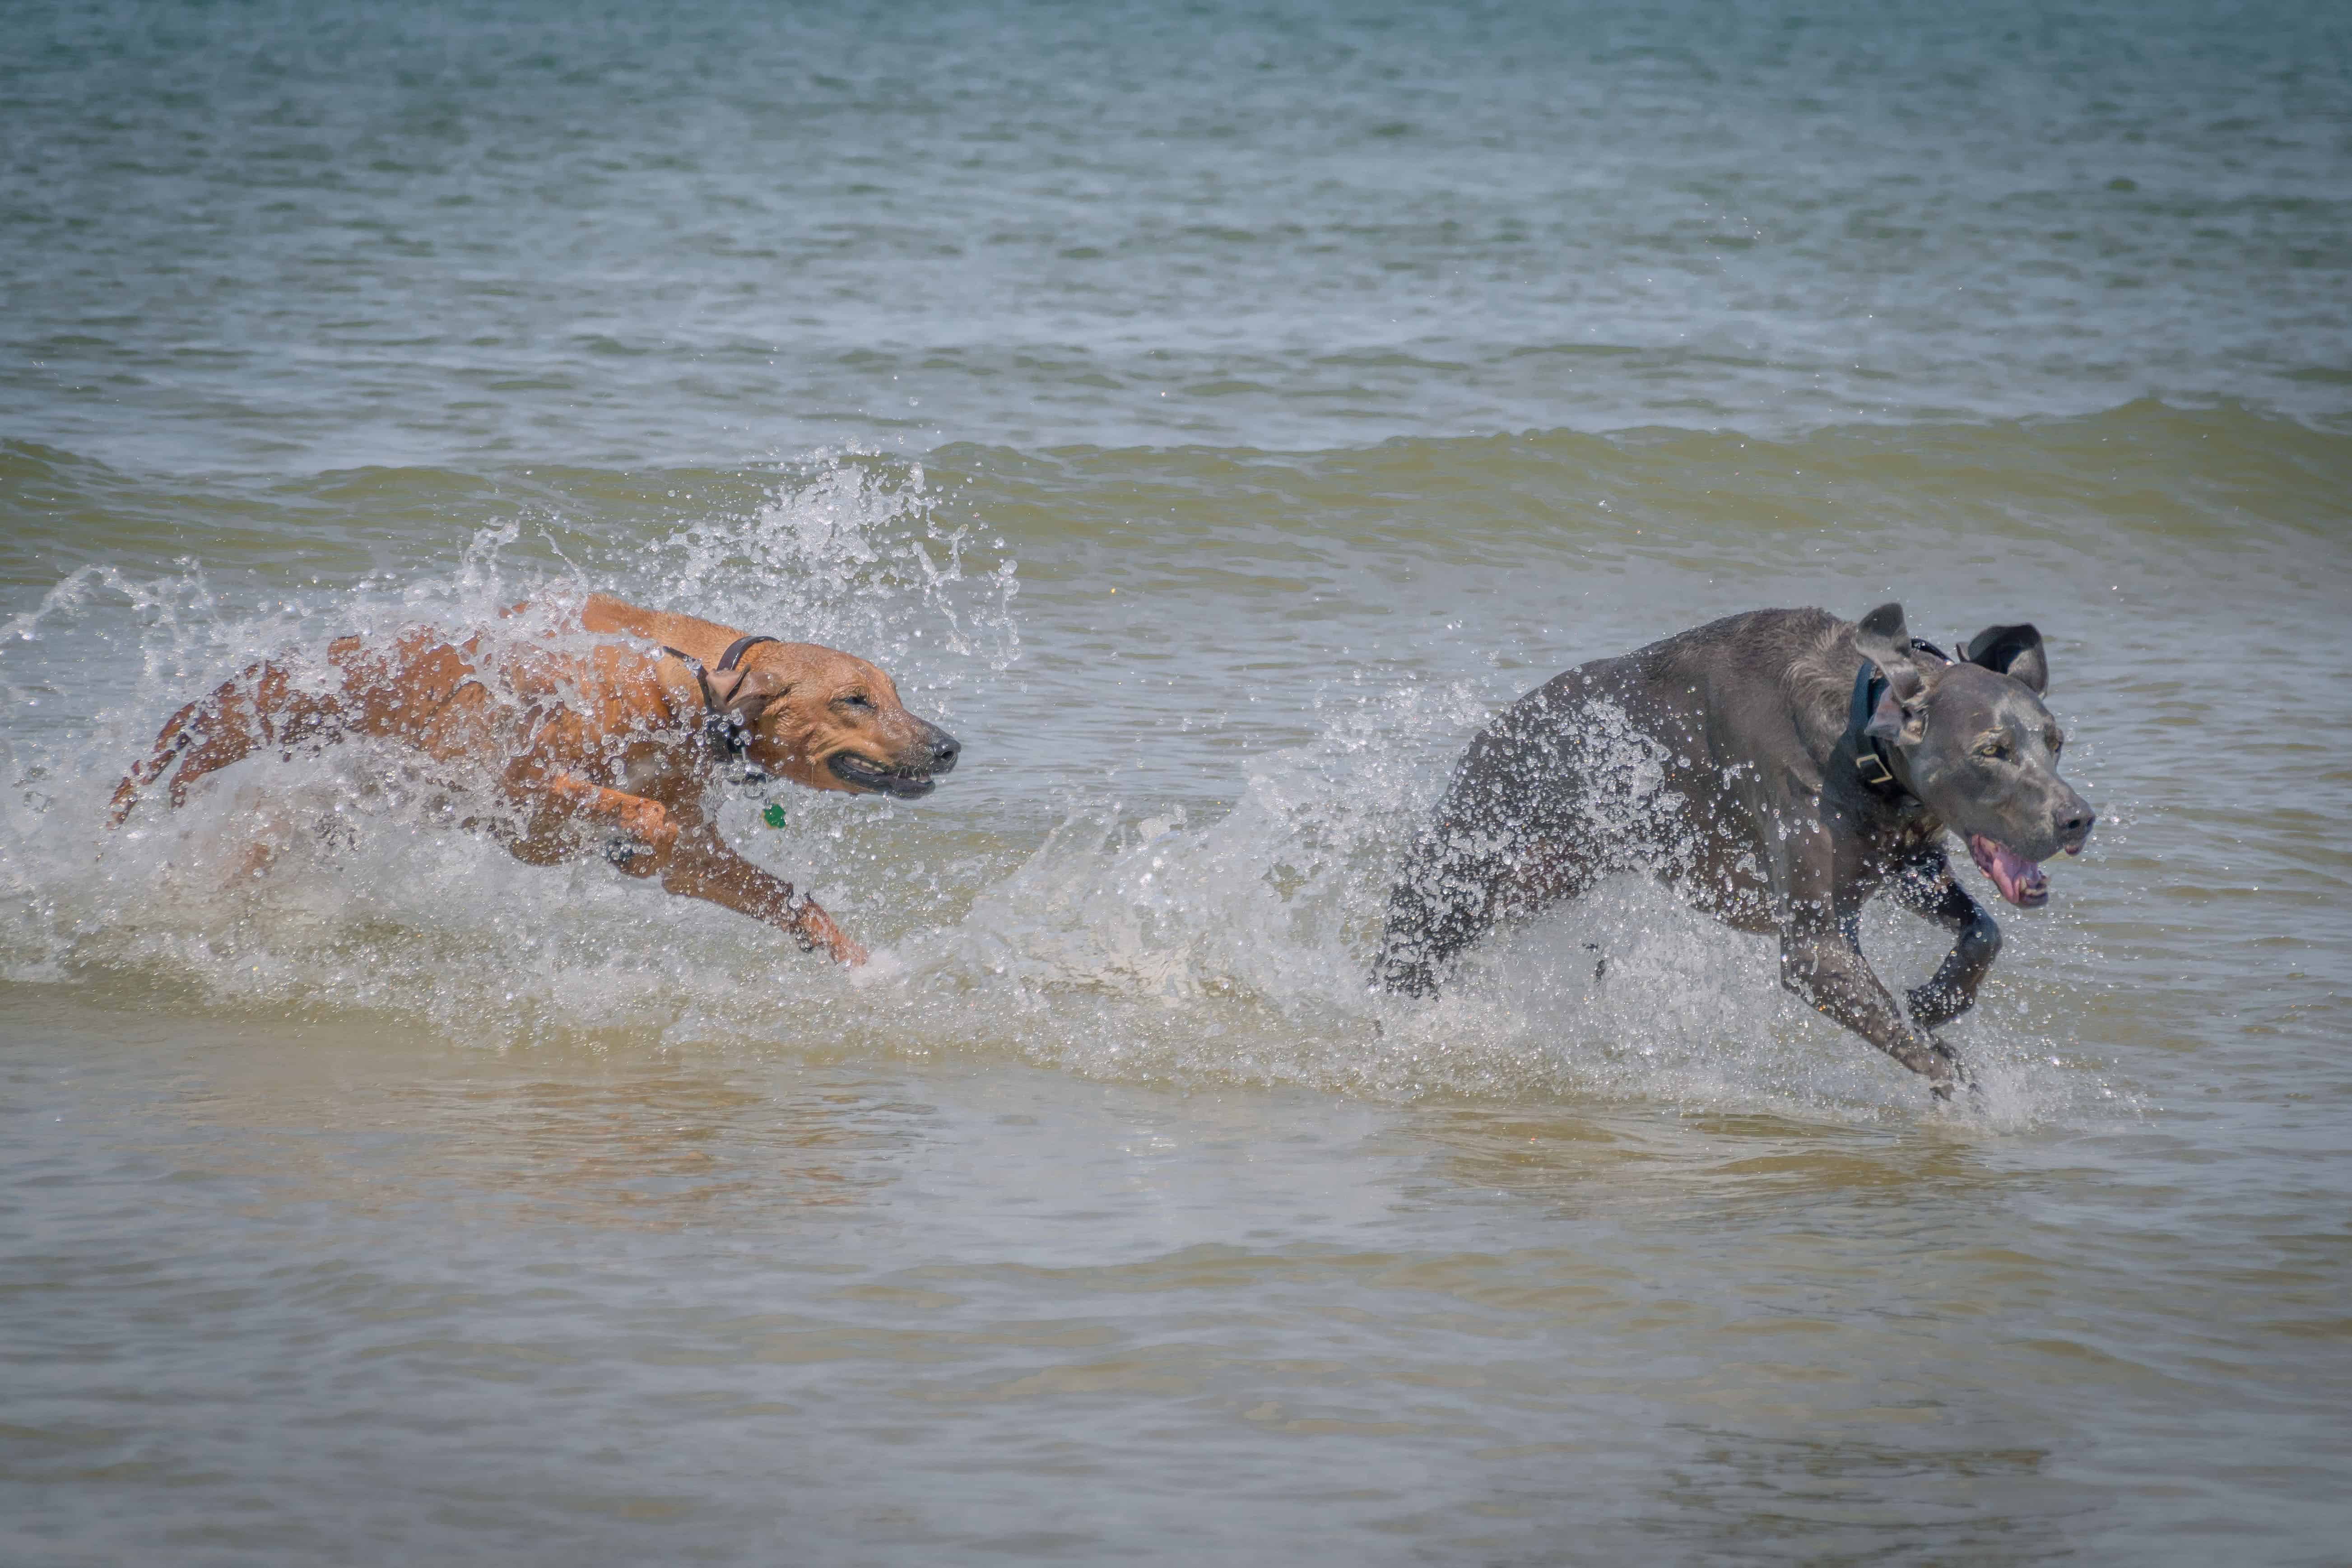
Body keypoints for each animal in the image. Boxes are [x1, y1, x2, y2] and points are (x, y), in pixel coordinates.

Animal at [110, 592, 955, 968]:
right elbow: (638, 814)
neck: (684, 685)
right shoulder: (511, 784)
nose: (949, 748)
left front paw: (859, 966)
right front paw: (626, 827)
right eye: (856, 699)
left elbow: (782, 895)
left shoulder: (696, 855)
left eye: (895, 692)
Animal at [1373, 606, 2098, 1100]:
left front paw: (1939, 998)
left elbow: (1983, 931)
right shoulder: (1814, 946)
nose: (2077, 818)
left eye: (2054, 742)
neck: (1858, 739)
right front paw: (1966, 1089)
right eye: (1990, 750)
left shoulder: (1904, 864)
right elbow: (1922, 1047)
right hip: (1459, 881)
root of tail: (1490, 731)